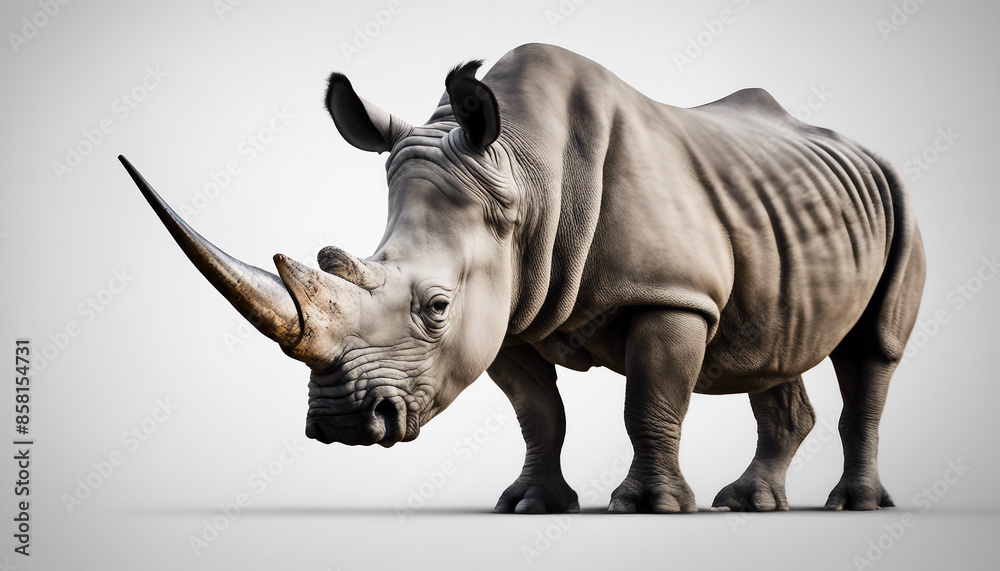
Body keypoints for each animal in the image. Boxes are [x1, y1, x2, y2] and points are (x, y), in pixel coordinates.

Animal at [120, 43, 925, 514]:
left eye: (436, 306)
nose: (343, 425)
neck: (521, 172)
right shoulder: (507, 308)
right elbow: (540, 412)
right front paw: (532, 505)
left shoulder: (672, 295)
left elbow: (651, 398)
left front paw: (647, 507)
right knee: (774, 344)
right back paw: (749, 502)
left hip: (900, 199)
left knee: (872, 352)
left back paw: (852, 504)